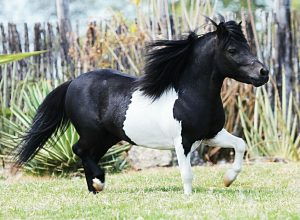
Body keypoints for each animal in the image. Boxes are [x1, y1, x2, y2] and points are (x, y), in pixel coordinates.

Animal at [14, 19, 268, 194]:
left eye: (247, 45)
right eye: (232, 50)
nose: (263, 73)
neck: (189, 96)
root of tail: (73, 82)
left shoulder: (210, 135)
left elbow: (240, 144)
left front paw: (228, 179)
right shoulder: (182, 141)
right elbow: (187, 173)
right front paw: (189, 196)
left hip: (107, 137)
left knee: (88, 155)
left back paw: (94, 189)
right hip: (91, 133)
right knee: (79, 150)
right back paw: (98, 182)